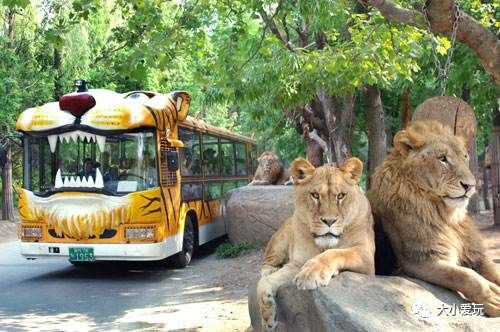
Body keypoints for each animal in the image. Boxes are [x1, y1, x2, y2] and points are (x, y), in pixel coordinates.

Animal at [258, 158, 376, 330]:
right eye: (315, 195)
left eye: (341, 196)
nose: (329, 221)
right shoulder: (297, 262)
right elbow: (264, 283)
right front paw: (267, 319)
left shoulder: (367, 257)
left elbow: (337, 252)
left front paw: (312, 273)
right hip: (279, 241)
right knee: (266, 263)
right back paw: (270, 270)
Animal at [370, 120, 498, 318]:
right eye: (442, 158)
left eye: (465, 157)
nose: (470, 185)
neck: (446, 217)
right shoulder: (419, 261)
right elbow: (466, 276)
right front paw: (493, 299)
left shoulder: (476, 254)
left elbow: (494, 271)